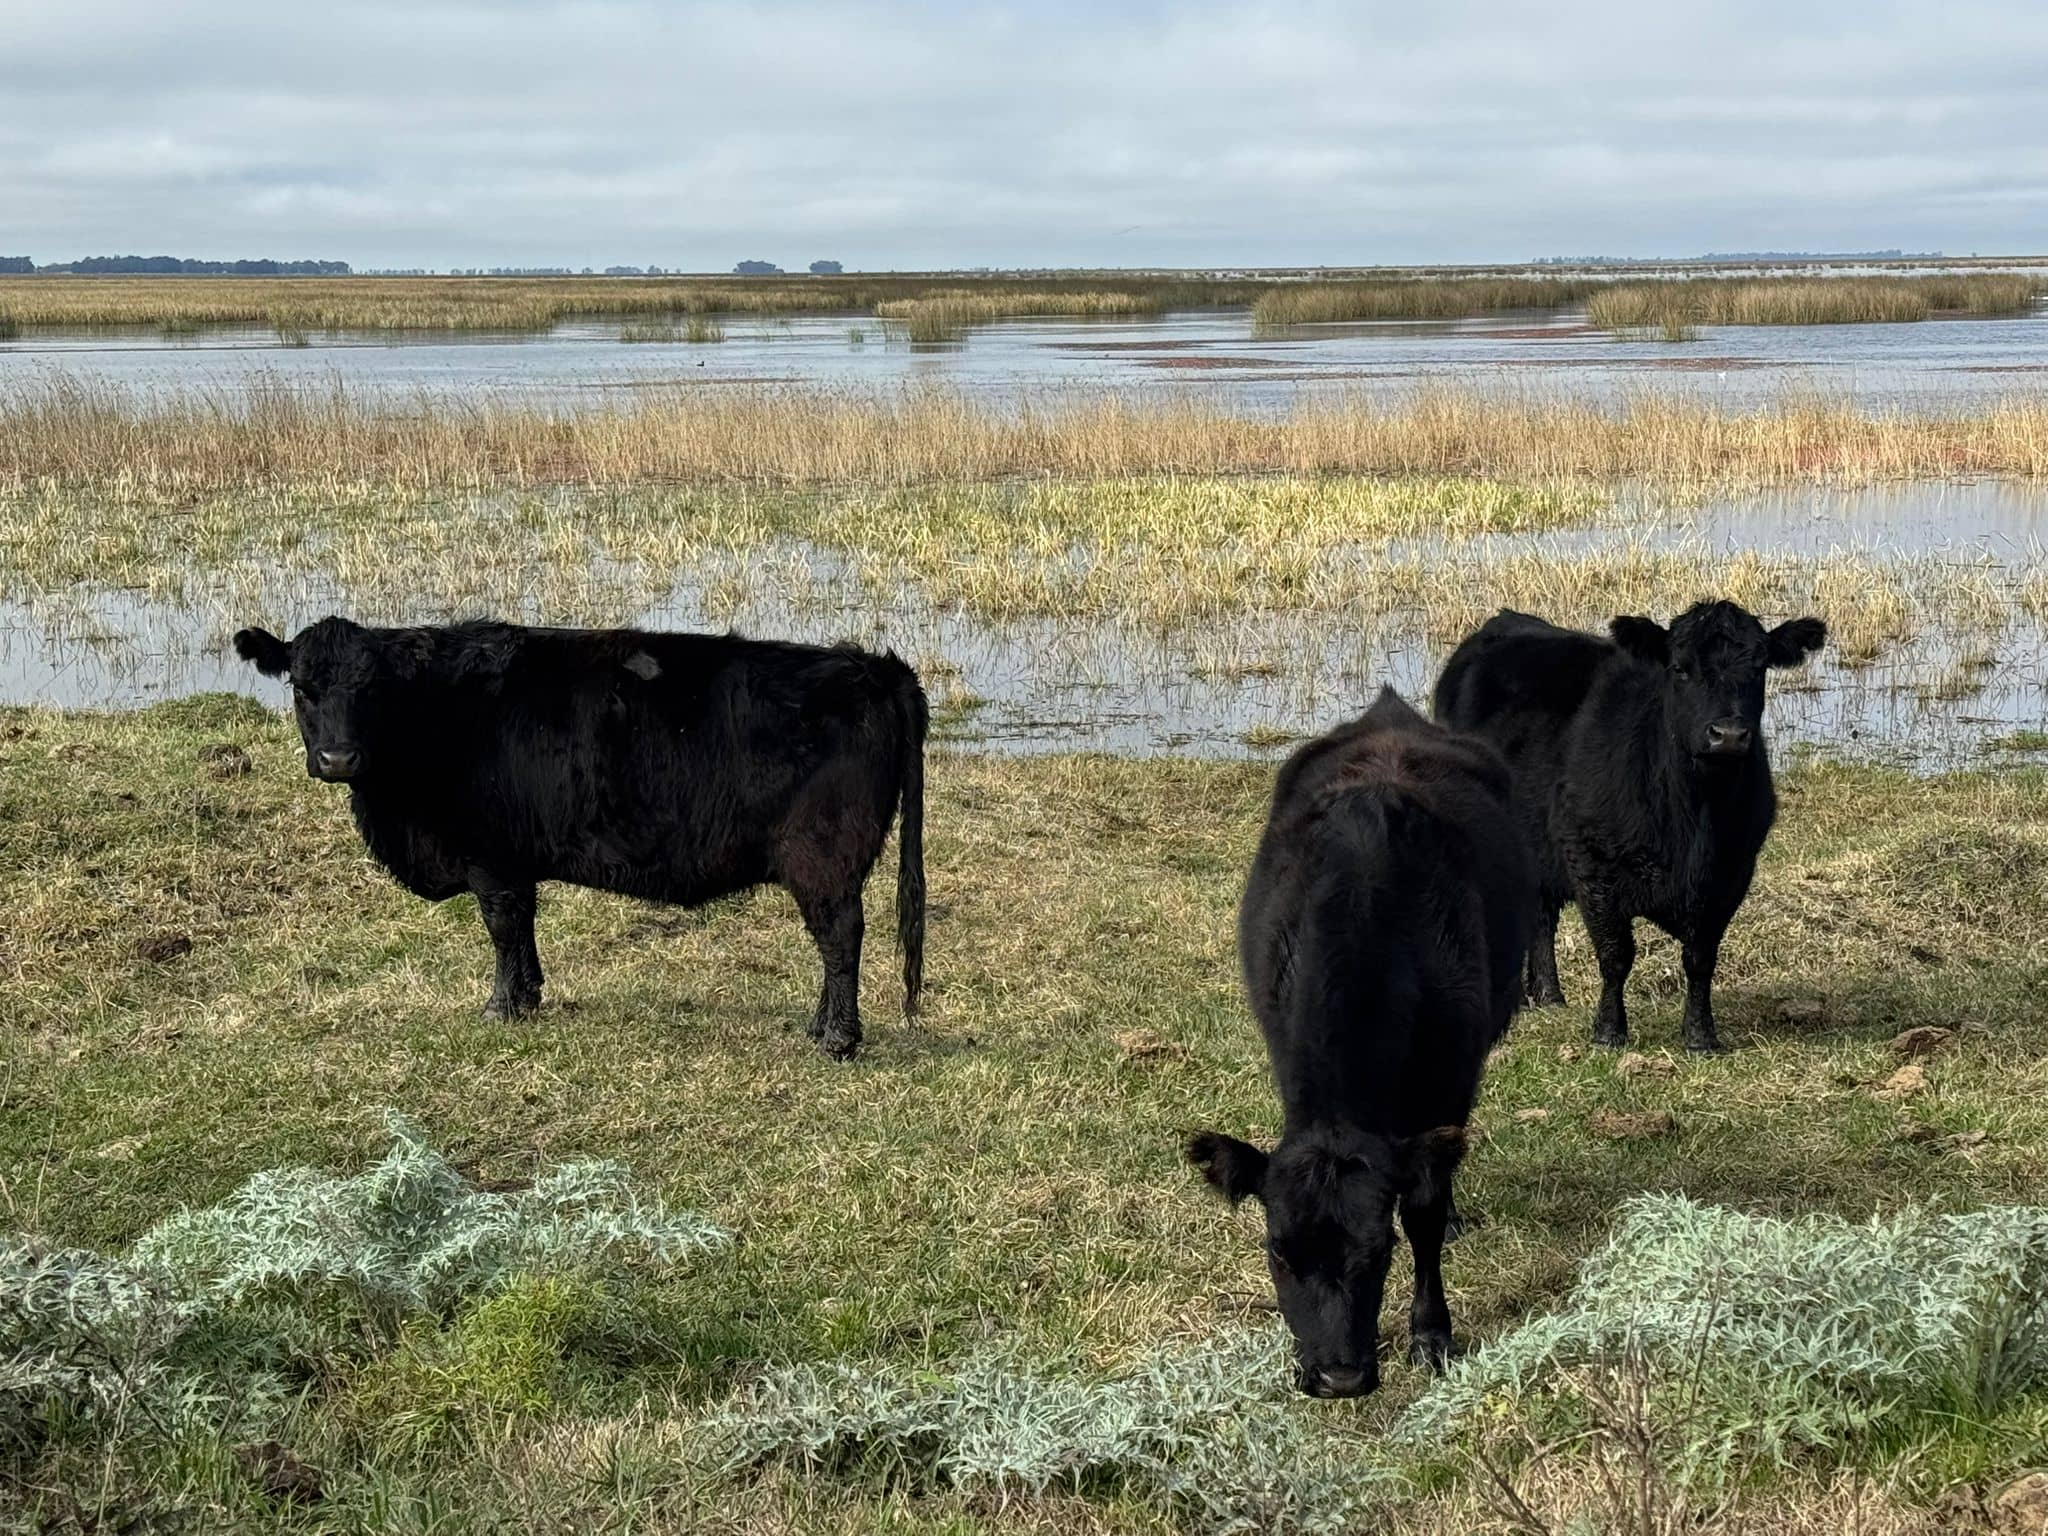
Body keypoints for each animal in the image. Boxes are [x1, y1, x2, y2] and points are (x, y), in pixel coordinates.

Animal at [232, 616, 926, 1060]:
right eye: (302, 687)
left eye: (371, 688)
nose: (338, 758)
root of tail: (871, 666)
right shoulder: (511, 862)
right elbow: (523, 926)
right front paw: (530, 995)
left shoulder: (491, 857)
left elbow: (503, 926)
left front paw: (502, 1007)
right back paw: (818, 1026)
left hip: (824, 859)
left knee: (840, 938)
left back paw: (838, 1039)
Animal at [1186, 687, 1531, 1398]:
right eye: (1278, 1252)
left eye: (1379, 1251)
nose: (1339, 1377)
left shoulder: (1451, 1076)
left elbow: (1424, 1207)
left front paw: (1431, 1334)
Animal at [1433, 601, 1825, 1052]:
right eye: (1679, 668)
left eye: (1760, 667)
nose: (1727, 735)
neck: (1695, 819)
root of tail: (1507, 620)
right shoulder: (1591, 865)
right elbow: (1616, 954)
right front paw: (1609, 1032)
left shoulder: (1730, 876)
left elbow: (1700, 958)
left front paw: (1701, 1035)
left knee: (1541, 916)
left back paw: (1547, 996)